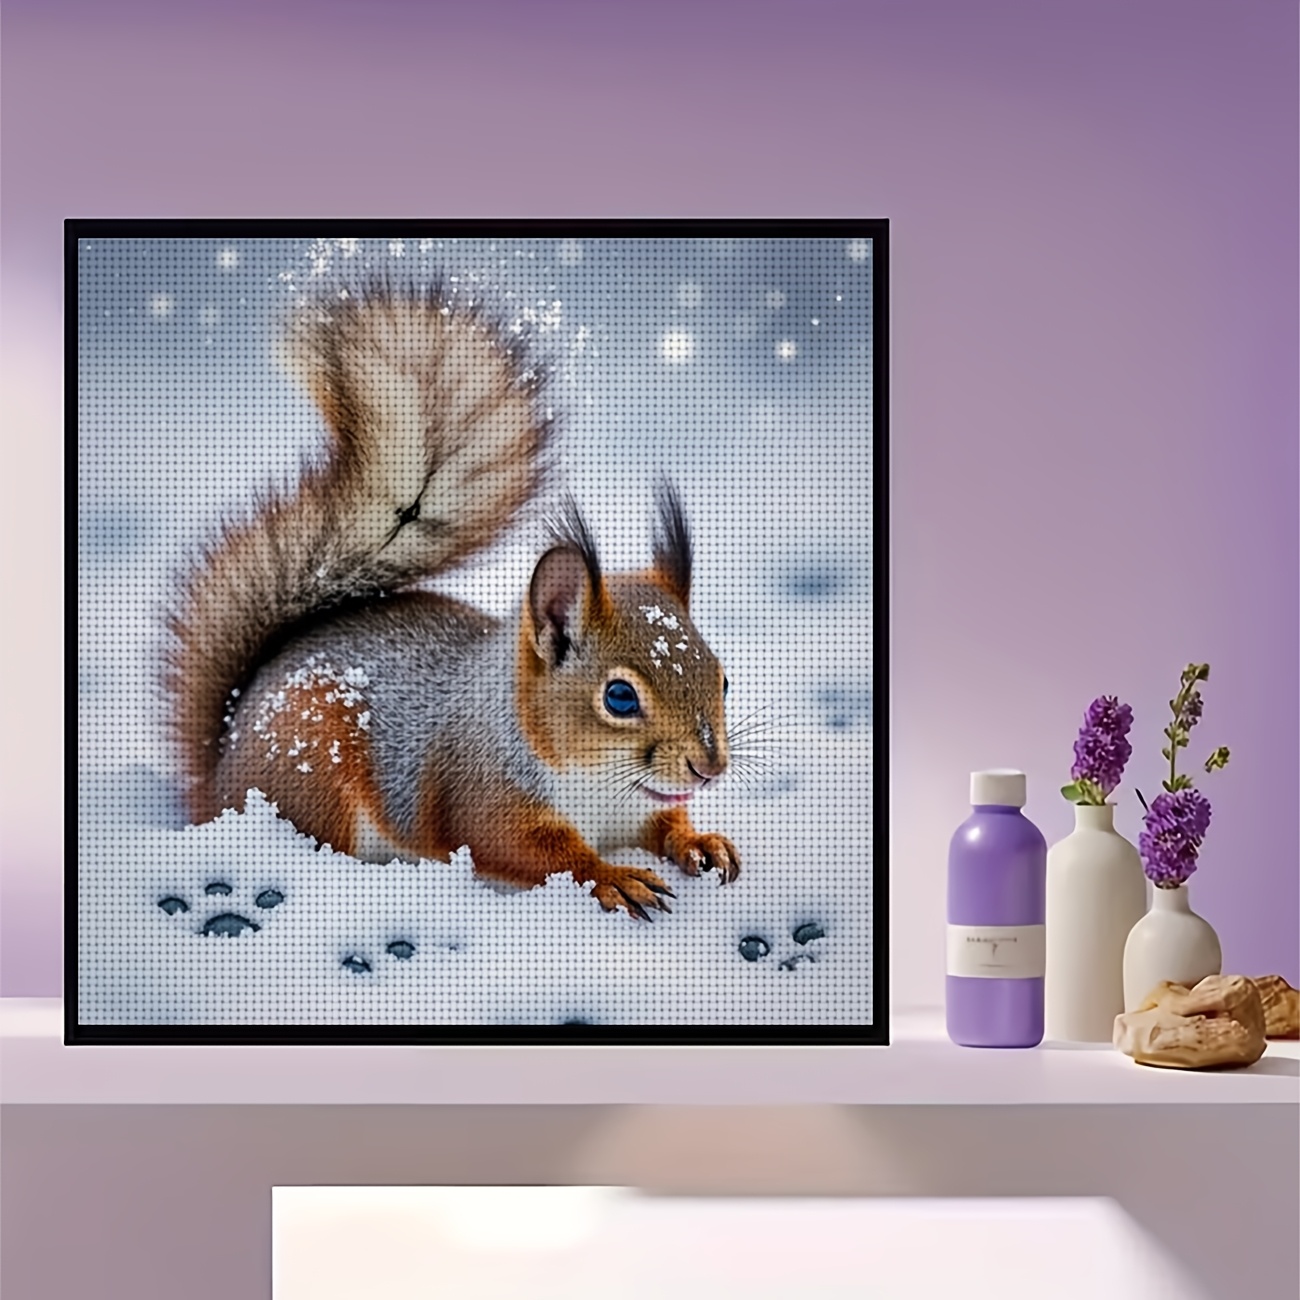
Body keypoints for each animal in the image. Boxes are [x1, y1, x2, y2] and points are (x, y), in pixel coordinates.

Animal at [163, 280, 739, 918]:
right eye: (619, 697)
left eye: (723, 679)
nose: (710, 767)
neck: (600, 787)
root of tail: (219, 773)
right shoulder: (481, 792)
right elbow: (527, 848)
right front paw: (613, 875)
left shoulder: (642, 806)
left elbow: (667, 822)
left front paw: (700, 841)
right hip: (310, 771)